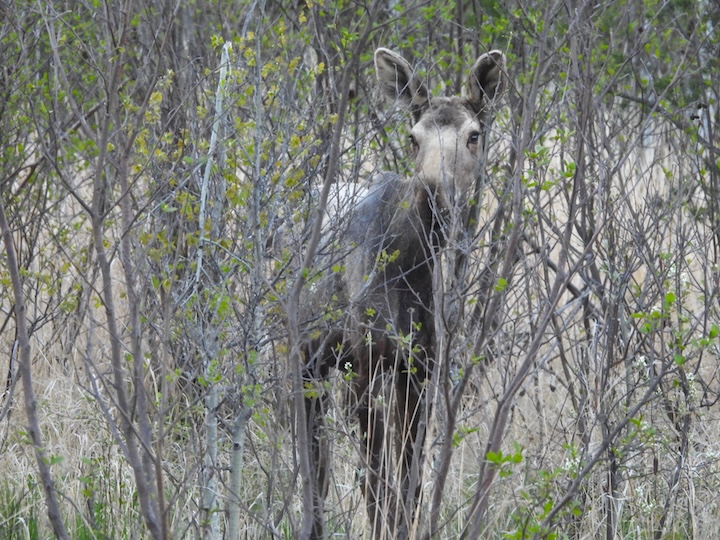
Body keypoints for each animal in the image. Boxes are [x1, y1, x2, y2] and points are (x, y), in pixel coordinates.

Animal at [300, 47, 510, 540]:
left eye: (474, 135)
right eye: (413, 139)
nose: (435, 195)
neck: (412, 273)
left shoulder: (422, 367)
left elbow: (410, 483)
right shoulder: (366, 362)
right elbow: (376, 483)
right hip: (302, 354)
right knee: (314, 461)